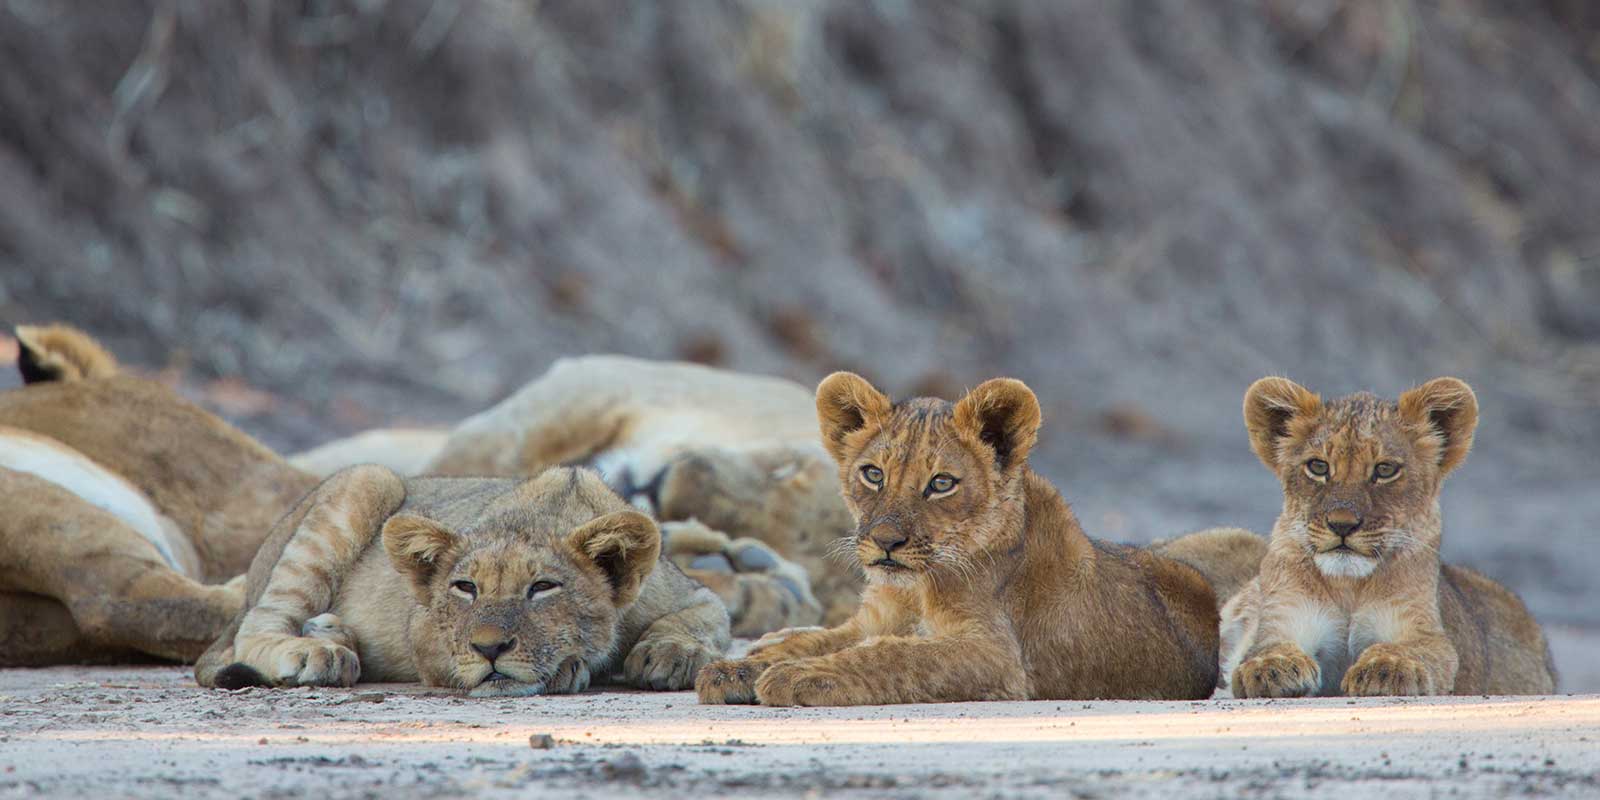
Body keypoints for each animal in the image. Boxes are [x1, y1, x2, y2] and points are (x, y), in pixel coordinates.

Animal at [195, 465, 729, 695]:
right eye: (465, 587)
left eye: (543, 588)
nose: (490, 648)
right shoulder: (423, 627)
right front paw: (565, 669)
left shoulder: (688, 591)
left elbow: (703, 618)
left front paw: (669, 654)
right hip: (368, 479)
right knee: (255, 629)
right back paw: (318, 651)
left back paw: (332, 632)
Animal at [694, 373, 1222, 706]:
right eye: (873, 474)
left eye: (941, 483)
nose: (886, 542)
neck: (916, 589)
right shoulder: (872, 621)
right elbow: (817, 640)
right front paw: (737, 668)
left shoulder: (997, 656)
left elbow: (895, 655)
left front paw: (803, 675)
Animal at [1222, 376, 1555, 697]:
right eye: (1318, 466)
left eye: (1384, 470)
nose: (1342, 525)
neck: (1349, 587)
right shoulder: (1284, 620)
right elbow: (1266, 648)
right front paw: (1270, 666)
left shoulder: (1428, 635)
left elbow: (1412, 651)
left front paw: (1386, 667)